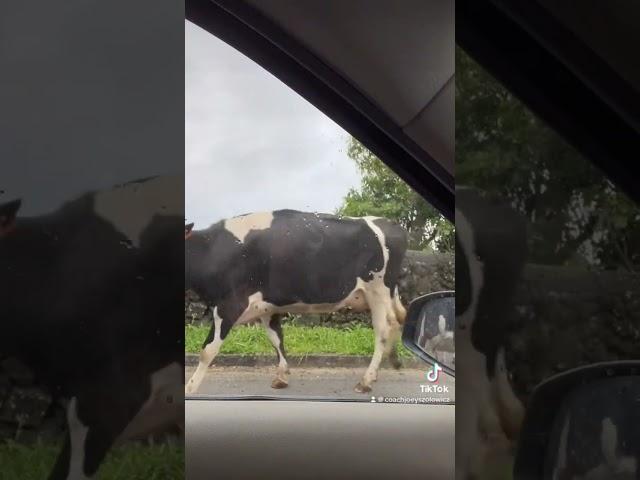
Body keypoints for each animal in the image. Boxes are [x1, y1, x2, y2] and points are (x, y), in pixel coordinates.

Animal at [182, 210, 408, 394]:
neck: (212, 252)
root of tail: (389, 223)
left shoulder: (229, 305)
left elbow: (207, 350)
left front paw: (189, 388)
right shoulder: (266, 307)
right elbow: (276, 339)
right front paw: (282, 376)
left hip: (377, 291)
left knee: (382, 331)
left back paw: (367, 380)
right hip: (384, 294)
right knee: (396, 321)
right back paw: (389, 364)